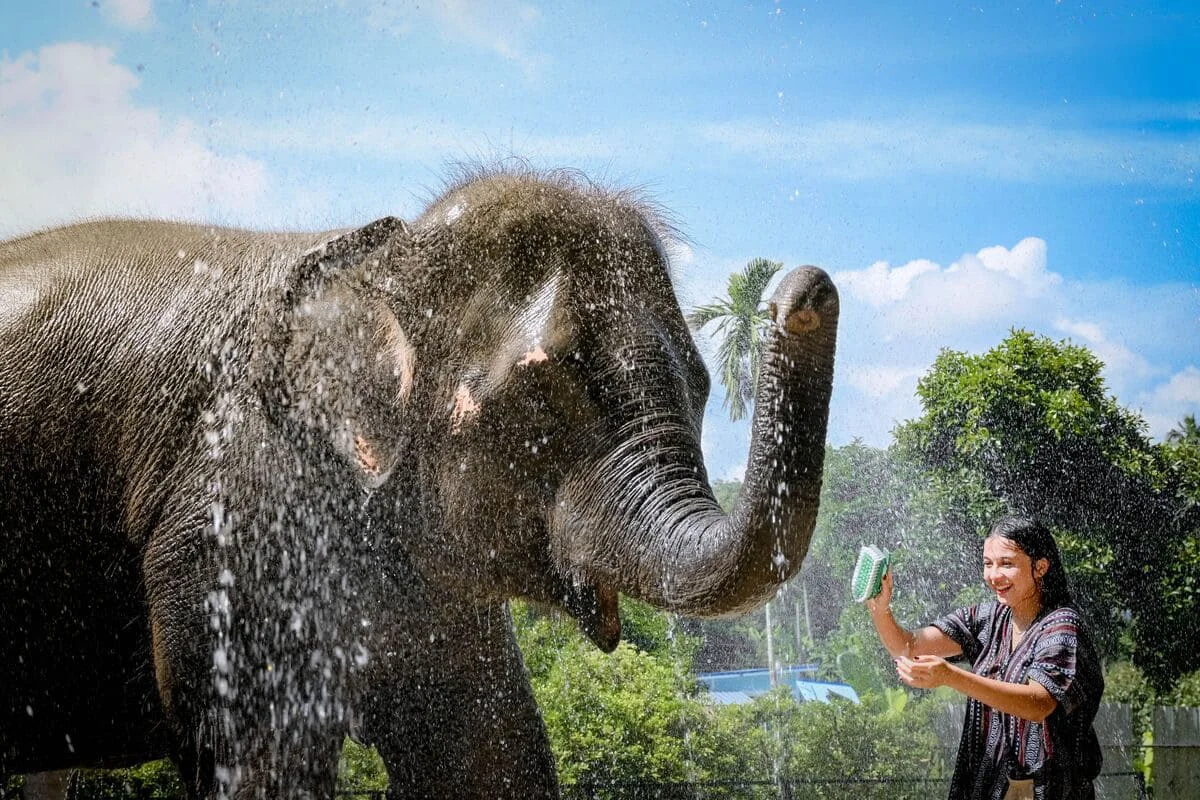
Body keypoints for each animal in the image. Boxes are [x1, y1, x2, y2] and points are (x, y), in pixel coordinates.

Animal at [0, 168, 839, 799]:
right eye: (543, 393)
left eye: (701, 387)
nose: (805, 292)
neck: (383, 261)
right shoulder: (233, 521)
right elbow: (261, 758)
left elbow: (485, 753)